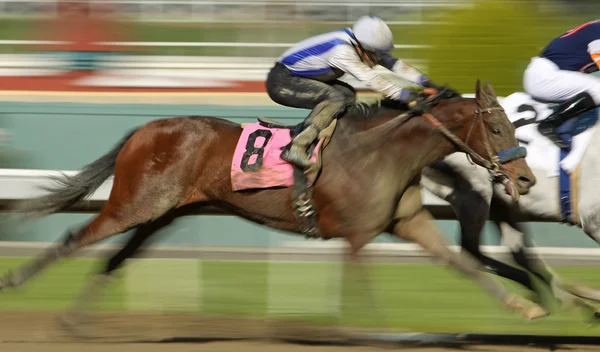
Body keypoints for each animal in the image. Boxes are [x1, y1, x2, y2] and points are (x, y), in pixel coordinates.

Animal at [2, 81, 540, 324]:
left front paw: (524, 305)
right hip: (136, 205)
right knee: (77, 237)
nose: (526, 177)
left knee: (116, 257)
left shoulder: (408, 222)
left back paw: (75, 318)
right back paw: (18, 282)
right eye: (497, 128)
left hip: (164, 213)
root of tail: (144, 129)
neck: (386, 151)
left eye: (515, 124)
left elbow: (463, 264)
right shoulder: (356, 236)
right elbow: (365, 292)